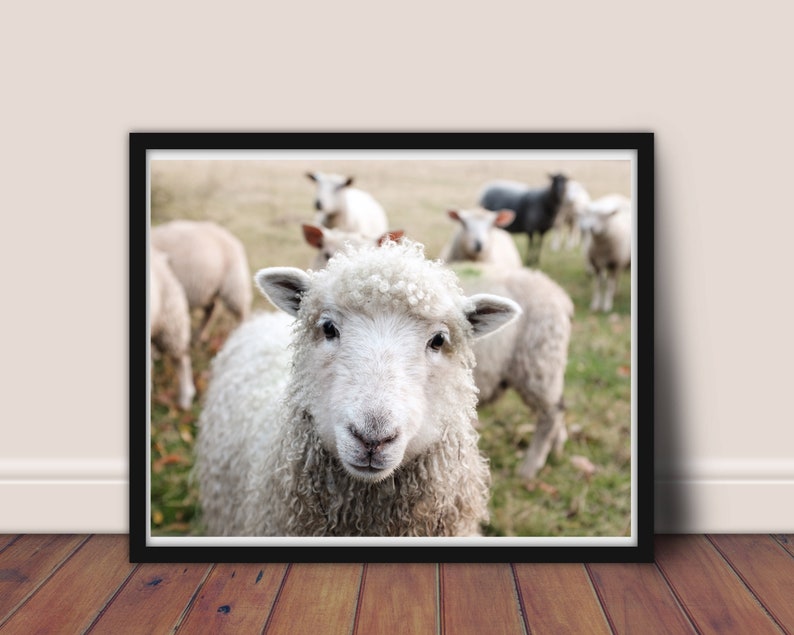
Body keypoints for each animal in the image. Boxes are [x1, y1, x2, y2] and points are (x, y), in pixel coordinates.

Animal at [451, 262, 574, 480]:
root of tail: (560, 296)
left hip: (538, 362)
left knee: (552, 413)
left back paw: (530, 468)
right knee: (558, 406)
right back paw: (557, 448)